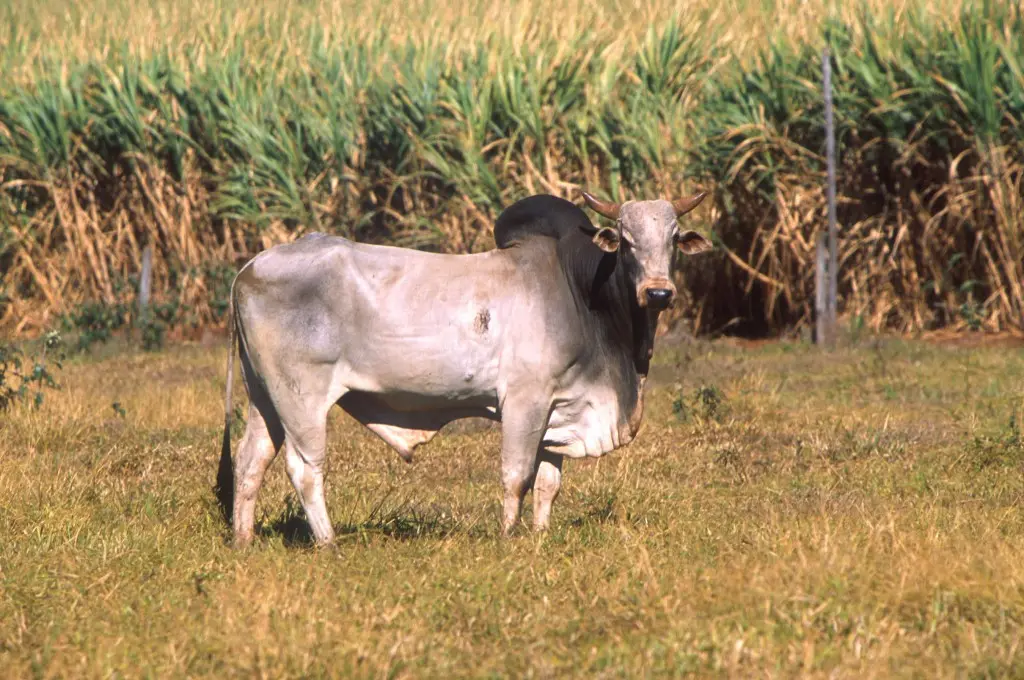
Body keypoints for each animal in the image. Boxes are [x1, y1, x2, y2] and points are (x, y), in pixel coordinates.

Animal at [216, 191, 712, 548]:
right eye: (626, 241)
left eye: (673, 240)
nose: (659, 292)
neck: (580, 293)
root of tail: (250, 267)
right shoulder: (525, 401)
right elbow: (517, 476)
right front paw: (508, 538)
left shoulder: (560, 408)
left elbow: (548, 484)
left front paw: (540, 537)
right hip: (301, 397)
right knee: (305, 468)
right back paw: (328, 542)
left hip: (265, 397)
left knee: (251, 460)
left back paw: (243, 540)